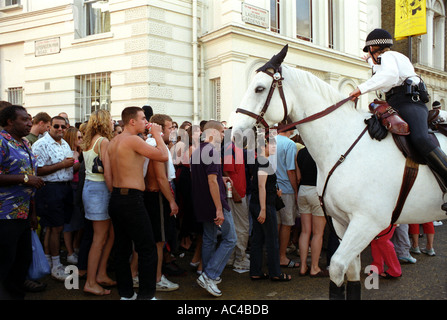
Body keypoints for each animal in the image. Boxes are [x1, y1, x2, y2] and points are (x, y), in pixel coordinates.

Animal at [231, 45, 447, 300]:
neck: (341, 142)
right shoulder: (342, 222)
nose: (236, 135)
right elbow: (349, 273)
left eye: (259, 88)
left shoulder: (367, 223)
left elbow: (336, 266)